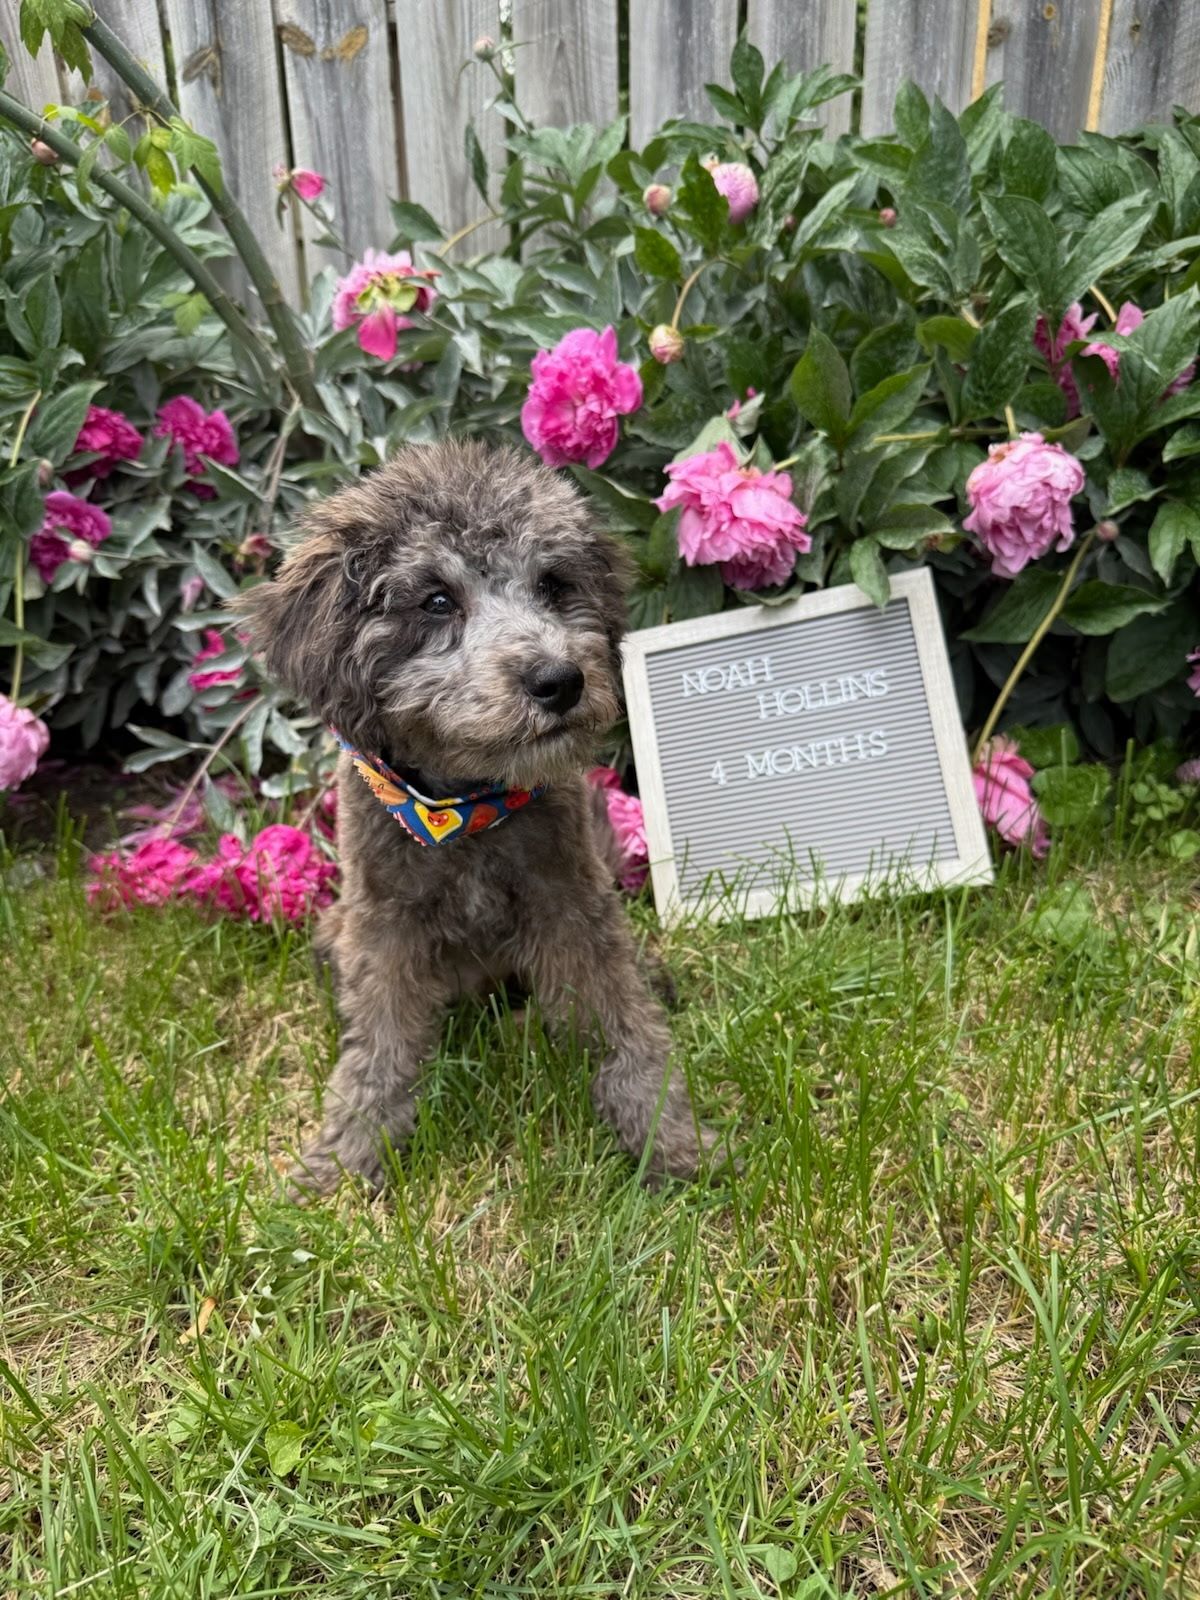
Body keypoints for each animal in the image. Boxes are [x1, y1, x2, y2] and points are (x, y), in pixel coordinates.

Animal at [241, 438, 715, 1193]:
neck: (464, 807)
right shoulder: (384, 924)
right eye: (436, 600)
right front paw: (347, 1155)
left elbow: (625, 1022)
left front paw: (667, 1138)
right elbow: (377, 1048)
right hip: (334, 932)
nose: (559, 680)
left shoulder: (571, 902)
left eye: (553, 585)